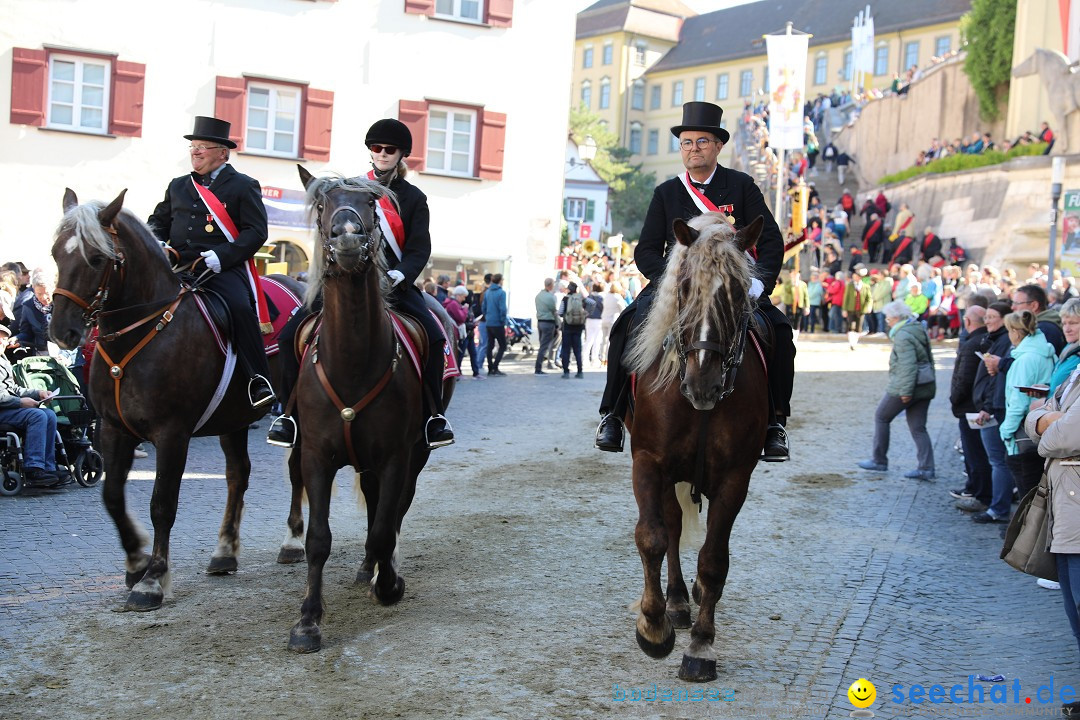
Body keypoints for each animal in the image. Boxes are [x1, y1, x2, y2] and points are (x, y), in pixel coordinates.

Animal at [285, 169, 453, 651]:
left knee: (392, 513)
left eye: (372, 207)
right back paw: (366, 571)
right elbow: (318, 539)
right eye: (323, 206)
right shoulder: (316, 456)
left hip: (416, 454)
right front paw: (308, 621)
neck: (353, 362)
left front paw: (390, 585)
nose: (346, 239)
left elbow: (383, 527)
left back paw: (380, 571)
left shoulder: (397, 456)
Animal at [622, 212, 773, 682]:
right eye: (685, 287)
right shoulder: (648, 462)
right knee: (670, 526)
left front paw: (701, 647)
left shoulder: (735, 479)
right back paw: (674, 602)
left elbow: (713, 560)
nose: (702, 384)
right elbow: (652, 536)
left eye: (739, 292)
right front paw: (654, 629)